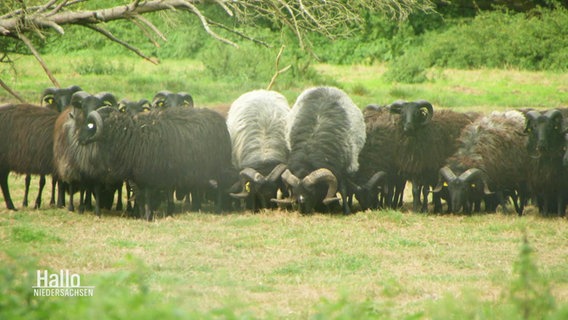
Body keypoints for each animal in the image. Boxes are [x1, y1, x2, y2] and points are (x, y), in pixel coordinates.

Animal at [76, 106, 232, 221]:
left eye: (91, 126)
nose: (79, 139)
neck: (128, 136)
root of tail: (219, 119)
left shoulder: (149, 175)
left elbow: (147, 196)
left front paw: (148, 216)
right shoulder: (137, 177)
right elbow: (140, 196)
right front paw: (142, 214)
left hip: (220, 167)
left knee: (220, 187)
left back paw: (218, 209)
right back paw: (196, 207)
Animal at [272, 86, 366, 214]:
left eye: (312, 190)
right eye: (294, 191)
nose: (302, 209)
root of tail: (326, 87)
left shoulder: (344, 169)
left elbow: (343, 189)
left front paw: (346, 210)